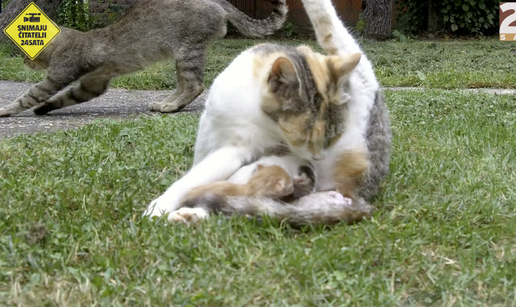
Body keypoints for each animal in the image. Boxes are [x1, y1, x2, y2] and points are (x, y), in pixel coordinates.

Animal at [0, 0, 288, 118]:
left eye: (26, 52)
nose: (25, 62)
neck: (70, 38)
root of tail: (218, 2)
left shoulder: (58, 74)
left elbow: (29, 95)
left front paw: (6, 110)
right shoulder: (93, 83)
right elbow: (65, 97)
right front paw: (45, 108)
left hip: (187, 52)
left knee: (195, 85)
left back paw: (171, 106)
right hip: (181, 58)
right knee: (184, 85)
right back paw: (166, 103)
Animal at [143, 0, 390, 226]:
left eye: (331, 138)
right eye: (305, 138)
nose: (319, 157)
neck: (251, 110)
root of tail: (354, 197)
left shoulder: (236, 150)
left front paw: (159, 206)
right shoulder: (208, 137)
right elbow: (200, 173)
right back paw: (192, 214)